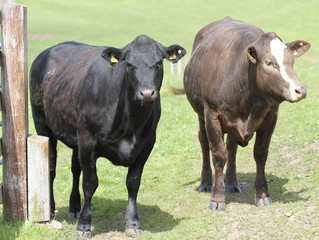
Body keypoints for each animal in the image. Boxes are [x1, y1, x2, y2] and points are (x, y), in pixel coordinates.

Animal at [29, 34, 188, 237]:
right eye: (129, 64)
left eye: (159, 63)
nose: (146, 93)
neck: (132, 122)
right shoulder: (88, 142)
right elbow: (90, 183)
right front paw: (84, 225)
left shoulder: (147, 144)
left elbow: (133, 183)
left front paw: (133, 223)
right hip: (42, 125)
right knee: (50, 168)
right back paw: (50, 208)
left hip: (75, 135)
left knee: (75, 169)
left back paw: (74, 207)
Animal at [184, 17, 312, 210]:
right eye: (269, 63)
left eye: (292, 61)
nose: (300, 90)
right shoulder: (212, 115)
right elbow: (218, 156)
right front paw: (217, 199)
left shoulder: (270, 116)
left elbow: (260, 154)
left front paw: (262, 195)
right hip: (201, 115)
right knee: (204, 143)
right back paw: (206, 183)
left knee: (232, 147)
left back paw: (231, 183)